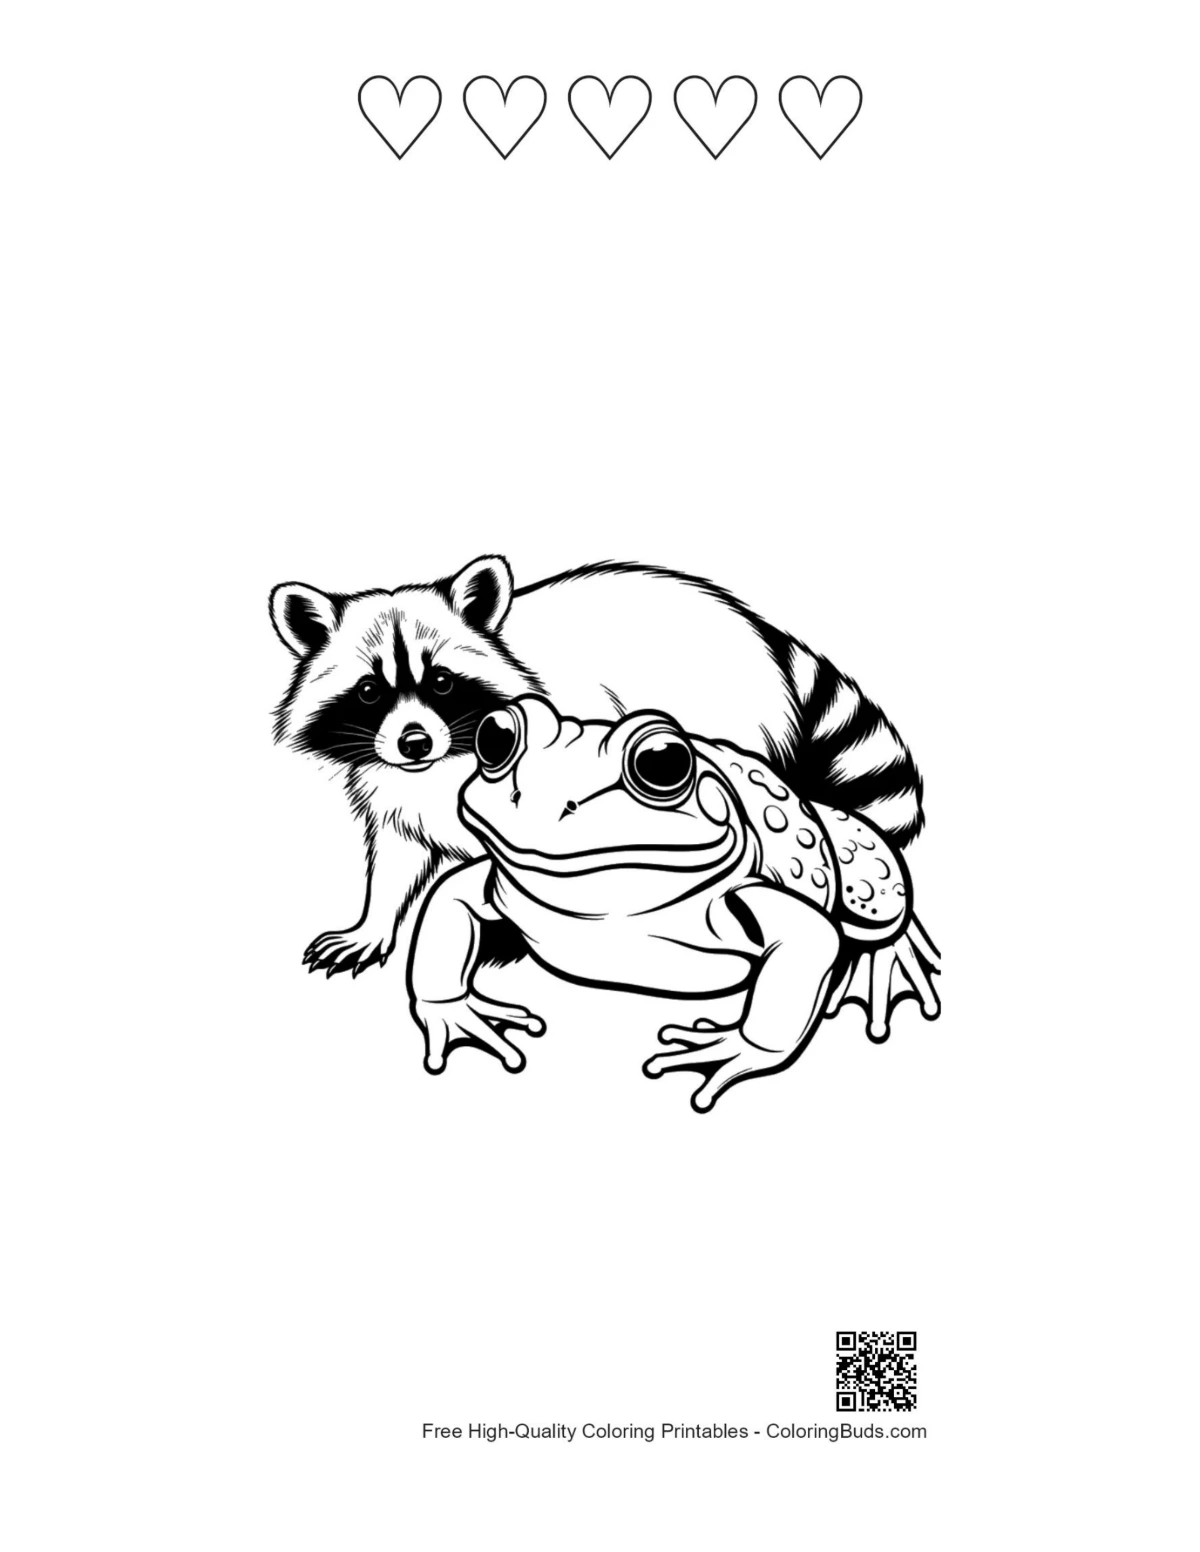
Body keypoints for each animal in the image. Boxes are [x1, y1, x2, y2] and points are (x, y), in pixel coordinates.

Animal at [270, 556, 924, 975]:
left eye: (442, 683)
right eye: (369, 692)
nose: (413, 742)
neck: (442, 759)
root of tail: (756, 629)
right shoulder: (395, 785)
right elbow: (397, 855)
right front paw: (373, 923)